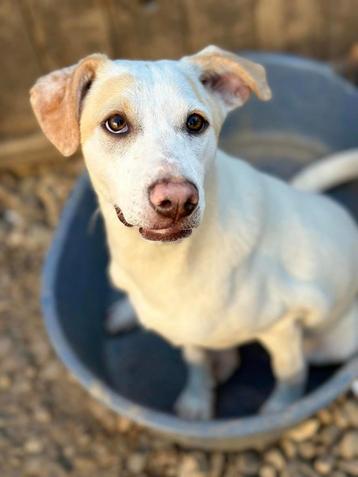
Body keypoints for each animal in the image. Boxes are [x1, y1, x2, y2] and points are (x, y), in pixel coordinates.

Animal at [30, 46, 358, 418]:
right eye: (116, 123)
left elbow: (290, 373)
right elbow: (196, 361)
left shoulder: (282, 326)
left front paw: (279, 410)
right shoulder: (187, 330)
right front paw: (198, 399)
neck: (163, 264)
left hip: (331, 342)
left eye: (195, 123)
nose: (176, 200)